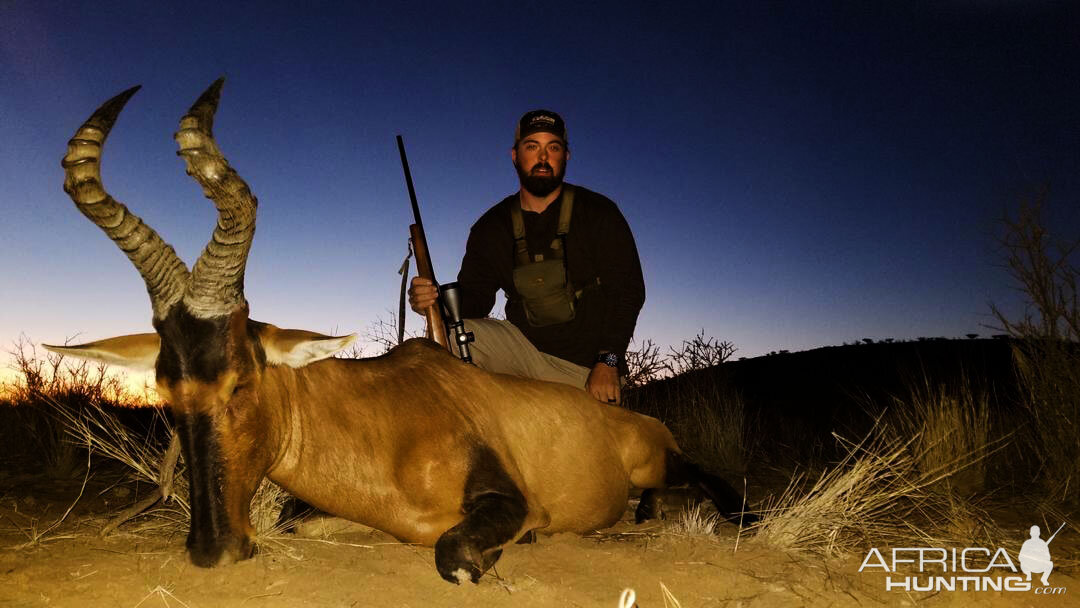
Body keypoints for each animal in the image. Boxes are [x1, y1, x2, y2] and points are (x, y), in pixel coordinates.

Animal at [48, 79, 751, 578]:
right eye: (166, 391)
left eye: (241, 381)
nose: (213, 551)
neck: (385, 413)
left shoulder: (506, 500)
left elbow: (456, 556)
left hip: (660, 457)